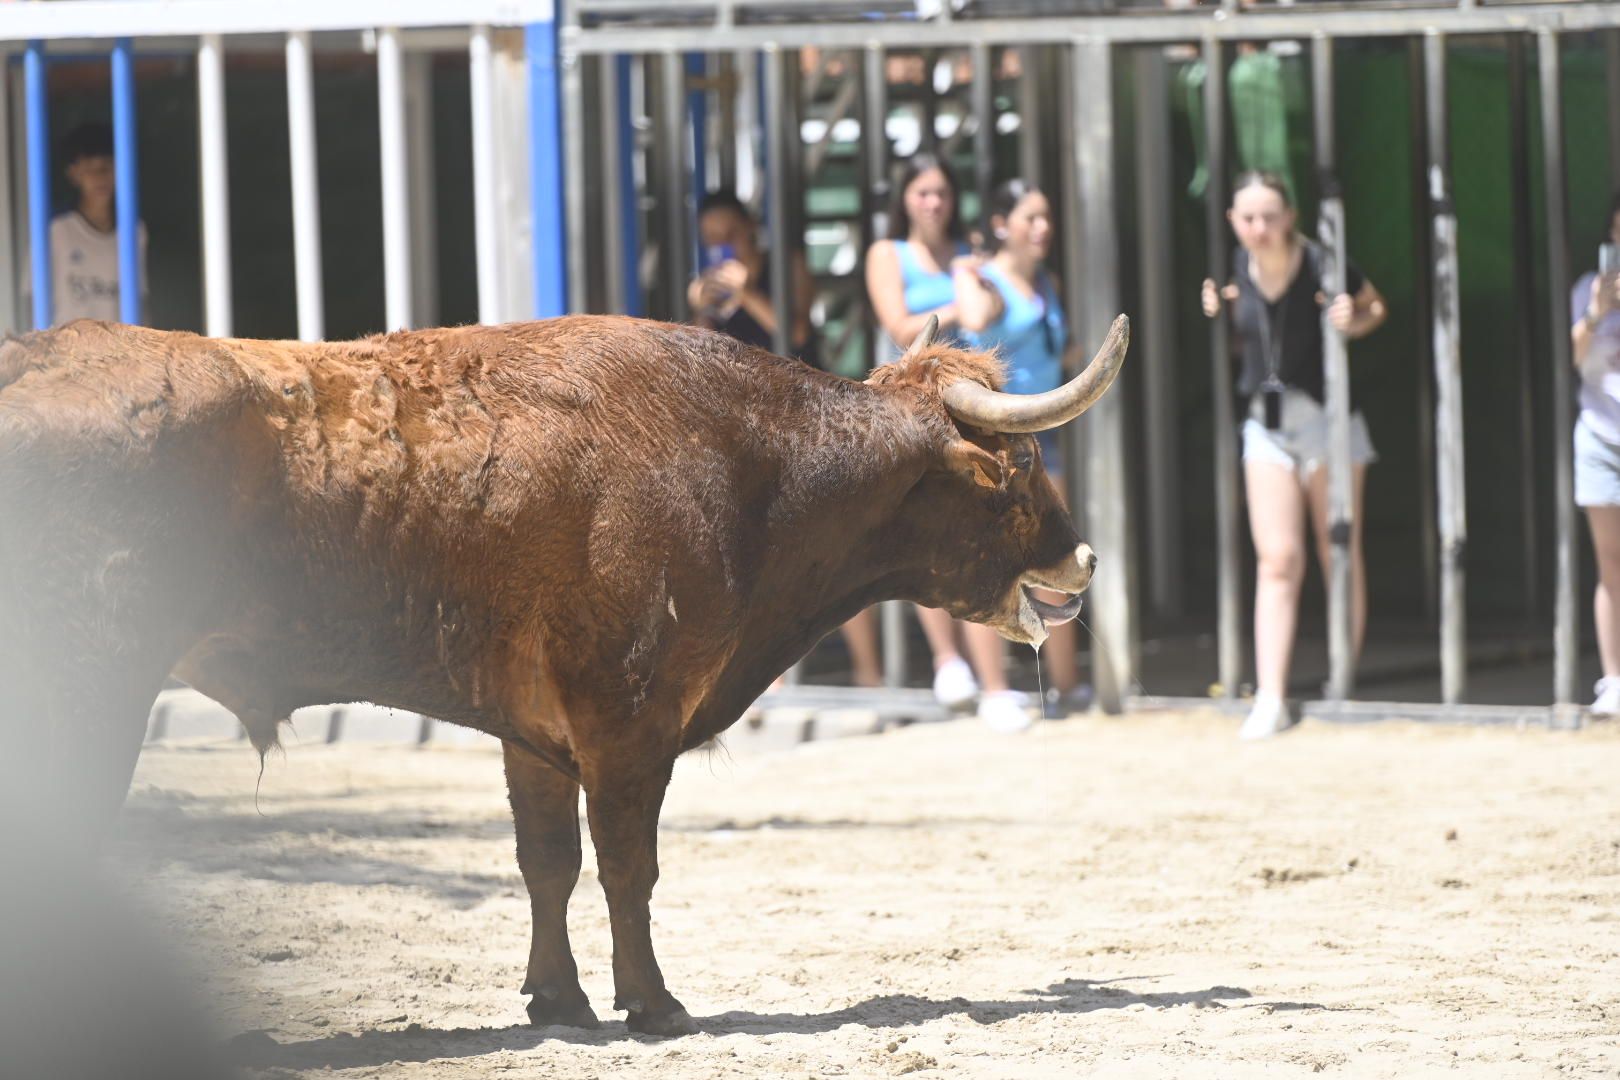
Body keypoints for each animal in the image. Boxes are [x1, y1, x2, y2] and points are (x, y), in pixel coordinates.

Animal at [0, 310, 1127, 1029]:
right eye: (1022, 467)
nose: (1083, 557)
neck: (751, 455)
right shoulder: (627, 716)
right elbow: (629, 863)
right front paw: (653, 1002)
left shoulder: (534, 731)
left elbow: (547, 861)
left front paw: (561, 998)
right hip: (89, 692)